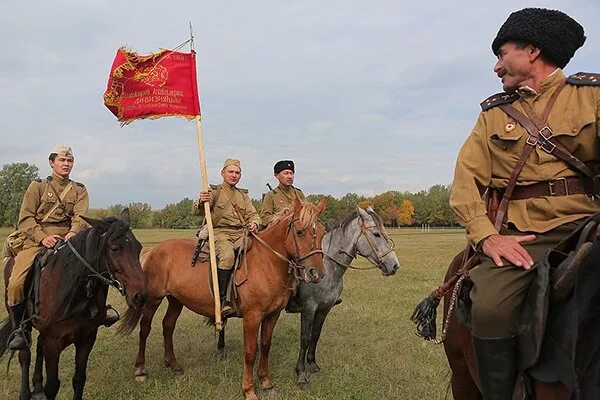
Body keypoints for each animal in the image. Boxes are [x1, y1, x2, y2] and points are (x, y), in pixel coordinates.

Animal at [0, 209, 148, 400]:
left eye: (138, 248)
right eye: (114, 249)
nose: (141, 295)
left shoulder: (86, 339)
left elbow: (79, 379)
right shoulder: (53, 343)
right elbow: (52, 386)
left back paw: (37, 387)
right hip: (21, 324)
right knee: (24, 353)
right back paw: (25, 392)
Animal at [119, 198, 328, 400]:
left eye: (323, 233)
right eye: (299, 232)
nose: (316, 273)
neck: (266, 262)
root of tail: (153, 250)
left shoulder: (272, 315)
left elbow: (265, 347)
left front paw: (266, 383)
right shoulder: (252, 317)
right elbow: (250, 352)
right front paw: (248, 390)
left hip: (175, 300)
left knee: (168, 326)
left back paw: (173, 365)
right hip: (153, 299)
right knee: (145, 329)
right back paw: (140, 370)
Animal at [294, 206, 398, 388]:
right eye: (376, 234)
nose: (394, 265)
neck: (327, 266)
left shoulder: (324, 308)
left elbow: (315, 335)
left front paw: (312, 364)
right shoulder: (308, 308)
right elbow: (305, 338)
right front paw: (301, 373)